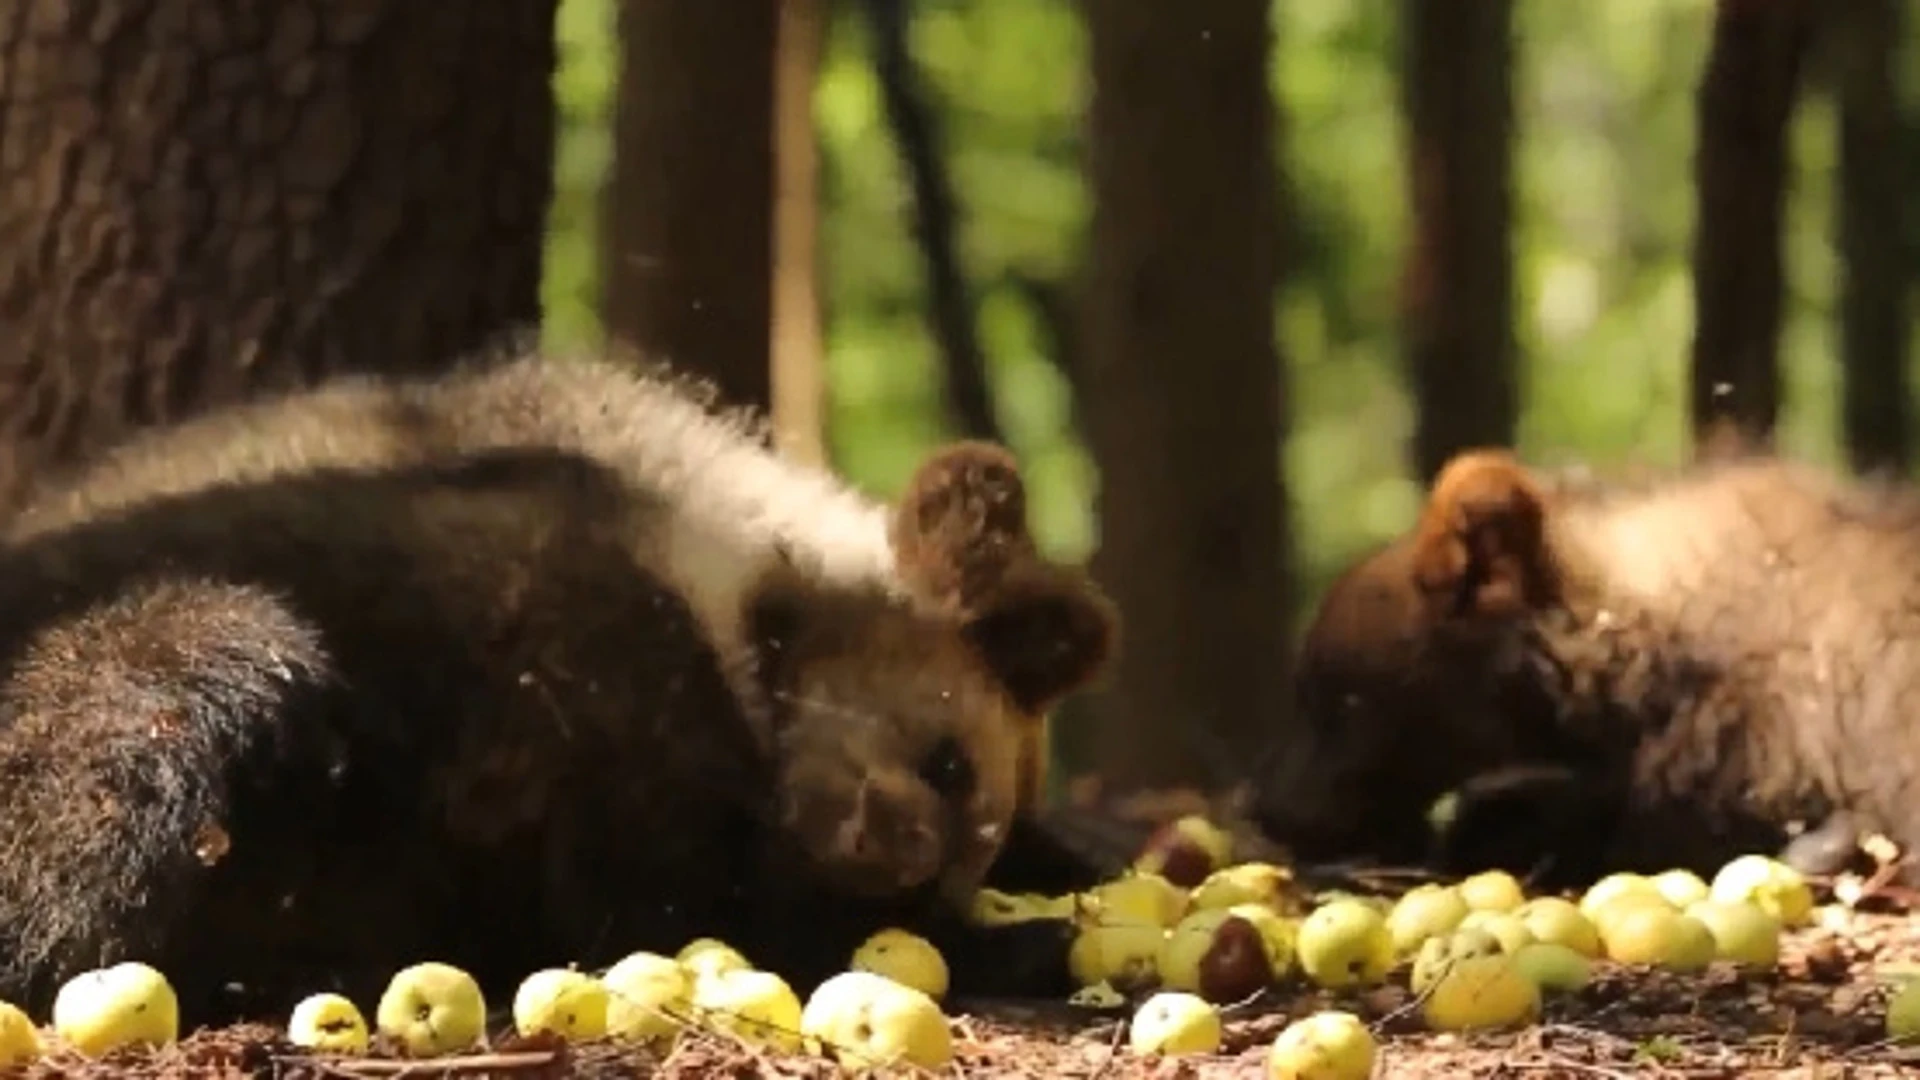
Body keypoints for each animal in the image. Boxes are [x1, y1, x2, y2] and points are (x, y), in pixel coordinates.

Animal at [0, 342, 1121, 1014]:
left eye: (967, 836)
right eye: (948, 761)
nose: (905, 859)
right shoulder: (586, 698)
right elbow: (675, 904)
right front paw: (1016, 941)